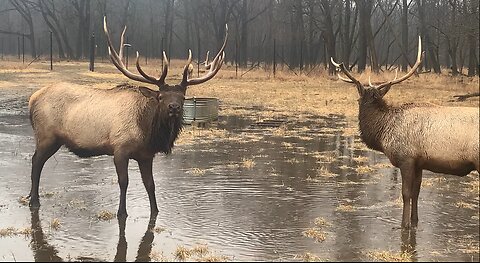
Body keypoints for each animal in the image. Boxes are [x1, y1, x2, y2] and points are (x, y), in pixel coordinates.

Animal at [26, 17, 229, 219]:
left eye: (183, 97)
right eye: (161, 97)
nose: (174, 107)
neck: (147, 133)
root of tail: (32, 99)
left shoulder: (146, 155)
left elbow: (150, 184)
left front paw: (155, 211)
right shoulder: (120, 148)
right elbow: (124, 182)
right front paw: (121, 212)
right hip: (46, 136)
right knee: (36, 162)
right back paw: (34, 200)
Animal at [332, 36, 478, 229]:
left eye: (359, 100)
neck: (383, 132)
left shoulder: (406, 158)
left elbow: (405, 193)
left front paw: (404, 224)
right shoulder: (419, 162)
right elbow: (416, 193)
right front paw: (415, 221)